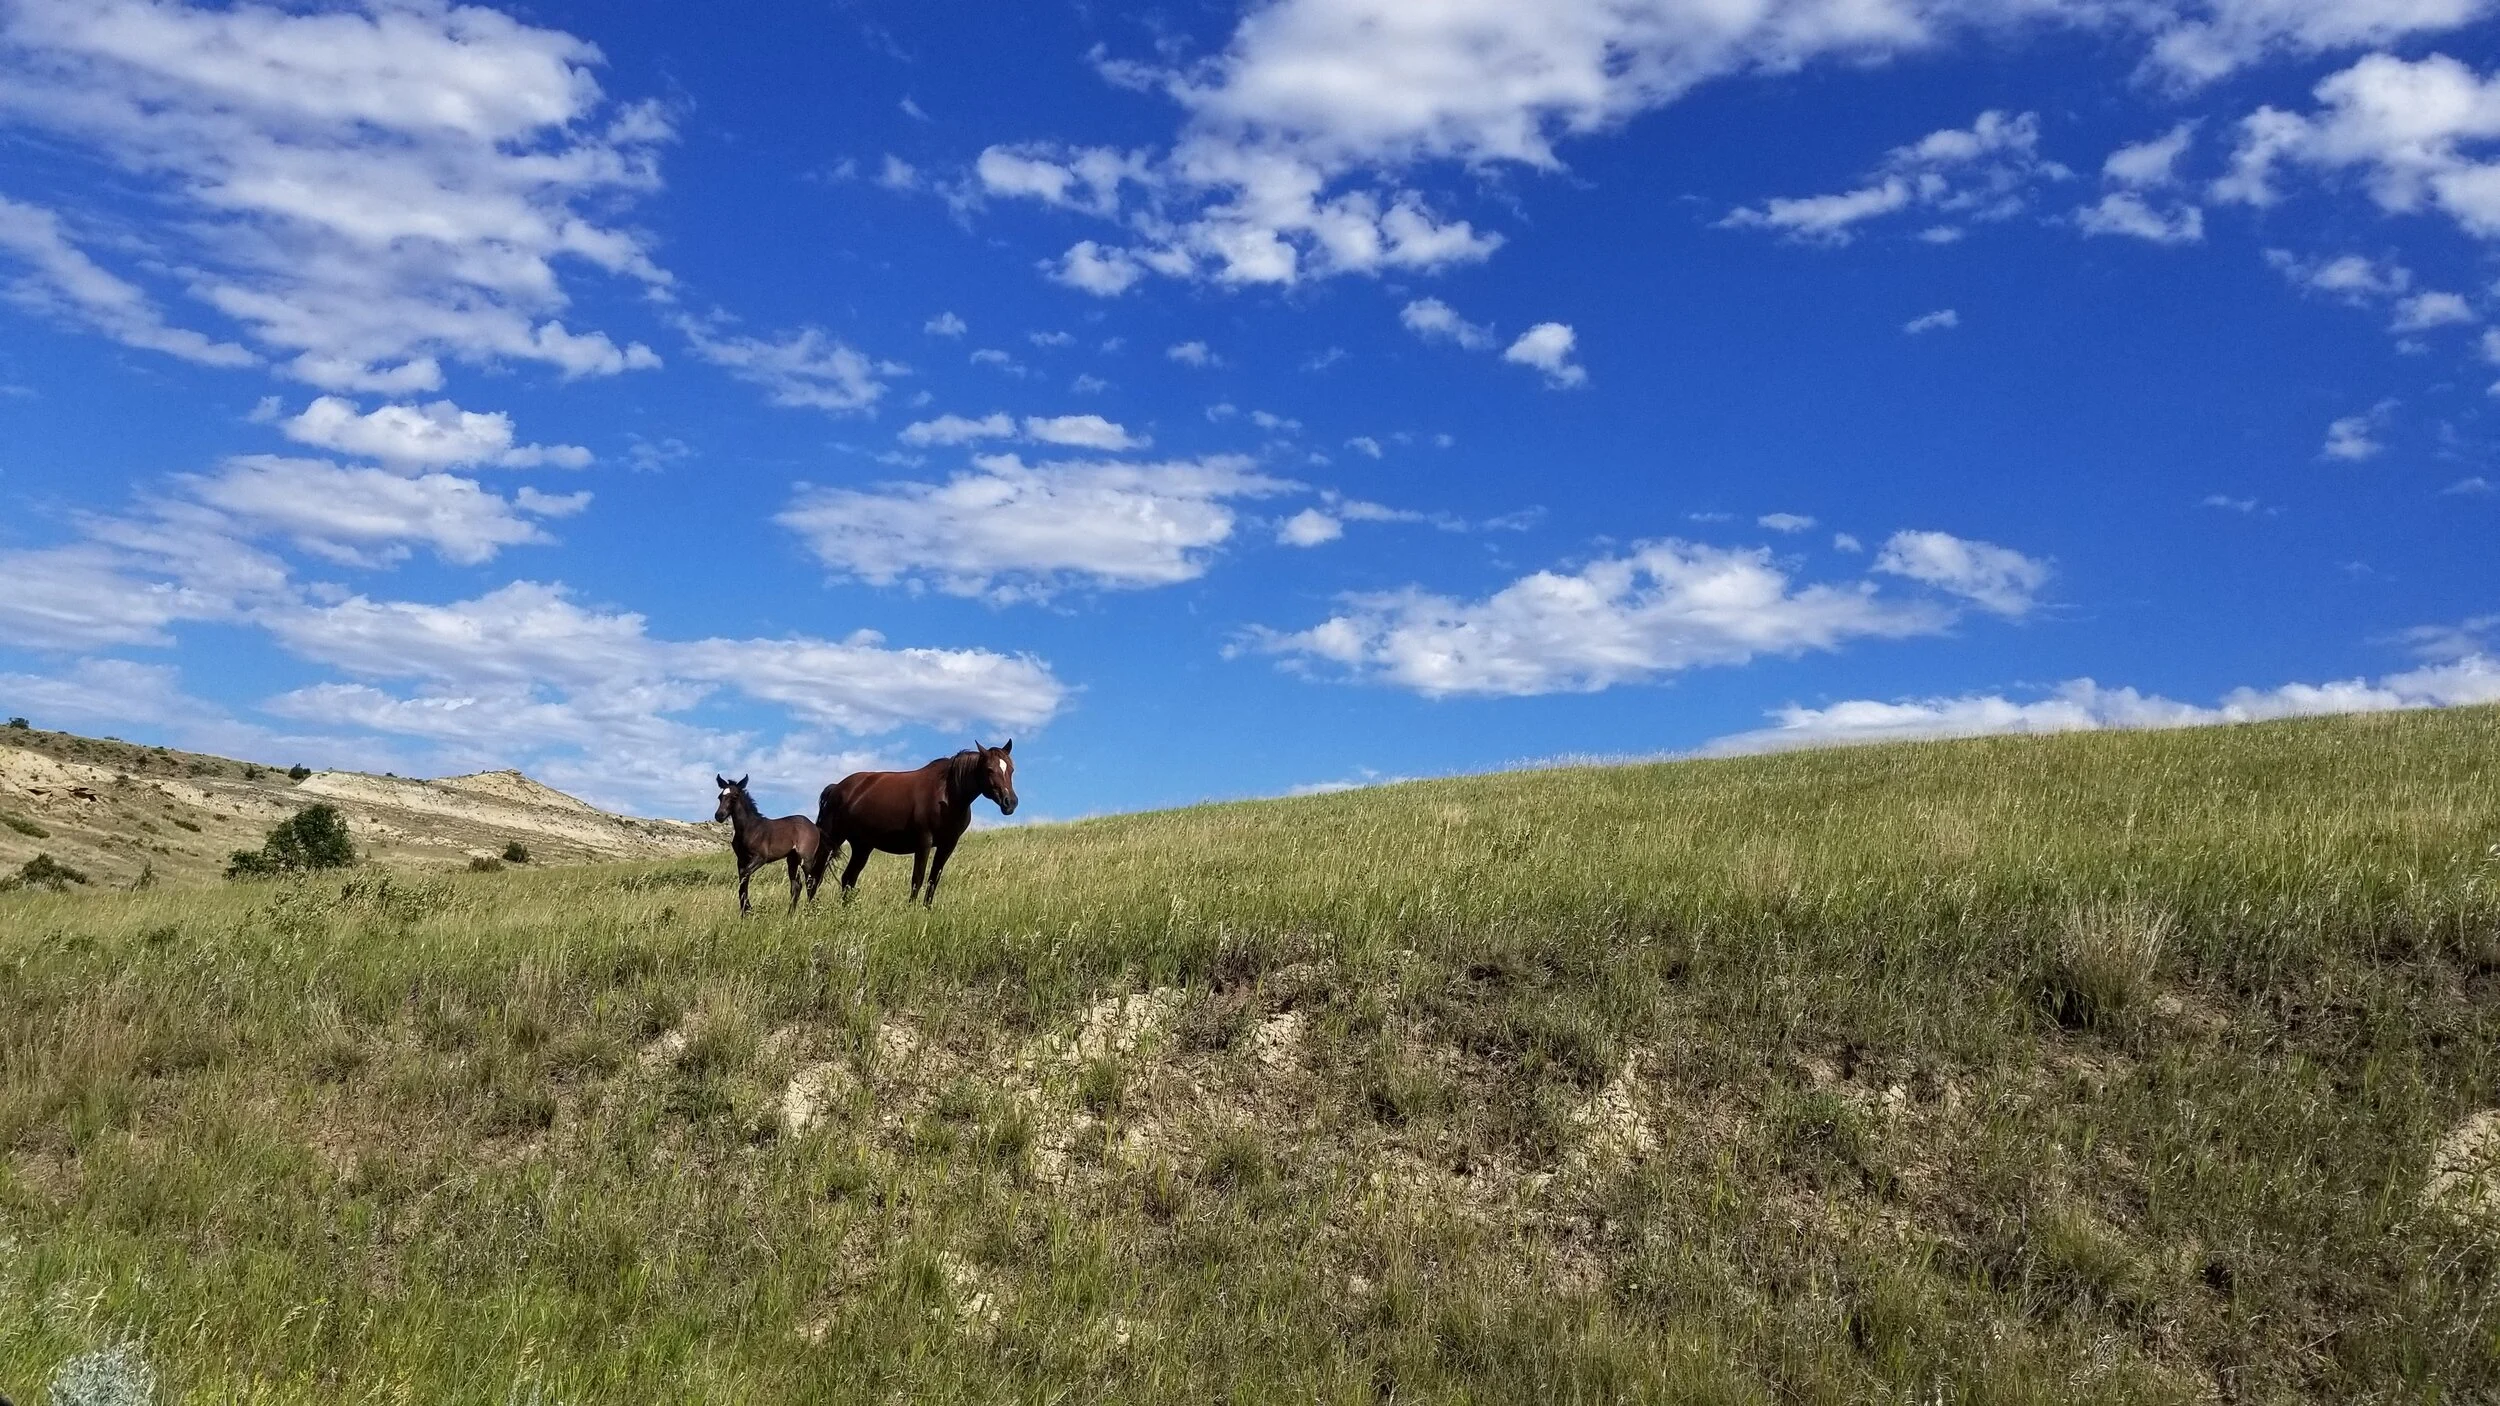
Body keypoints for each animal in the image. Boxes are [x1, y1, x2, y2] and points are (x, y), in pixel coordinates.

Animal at [713, 774, 823, 915]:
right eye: (720, 796)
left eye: (735, 796)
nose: (719, 816)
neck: (749, 828)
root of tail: (814, 827)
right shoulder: (741, 859)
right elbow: (743, 880)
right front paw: (744, 911)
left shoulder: (760, 858)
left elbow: (745, 875)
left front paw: (748, 908)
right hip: (792, 860)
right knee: (797, 885)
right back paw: (790, 914)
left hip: (806, 860)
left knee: (811, 882)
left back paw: (808, 911)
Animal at [808, 740, 1017, 906]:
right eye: (989, 769)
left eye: (1011, 769)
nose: (1010, 802)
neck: (947, 794)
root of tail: (837, 788)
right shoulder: (923, 842)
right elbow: (918, 877)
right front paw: (912, 909)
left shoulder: (948, 845)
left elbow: (934, 879)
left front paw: (926, 909)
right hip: (832, 839)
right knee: (816, 877)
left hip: (863, 846)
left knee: (848, 878)